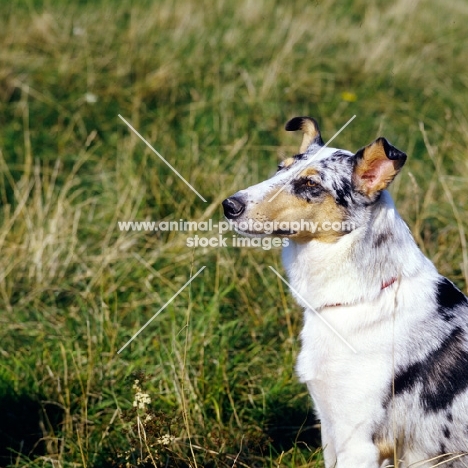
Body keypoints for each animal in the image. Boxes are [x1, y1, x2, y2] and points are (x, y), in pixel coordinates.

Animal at [222, 116, 468, 464]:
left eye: (311, 185)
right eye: (279, 168)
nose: (229, 205)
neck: (366, 298)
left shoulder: (359, 444)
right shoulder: (331, 428)